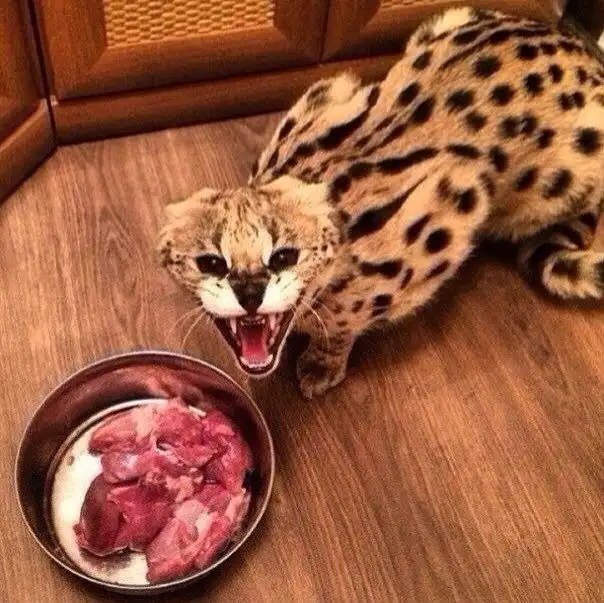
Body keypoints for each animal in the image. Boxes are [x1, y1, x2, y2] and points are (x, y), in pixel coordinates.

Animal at [158, 7, 604, 399]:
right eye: (211, 263)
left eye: (284, 256)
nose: (250, 294)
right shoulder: (326, 93)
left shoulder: (454, 203)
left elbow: (351, 318)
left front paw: (324, 360)